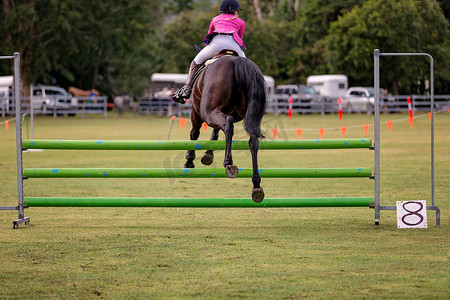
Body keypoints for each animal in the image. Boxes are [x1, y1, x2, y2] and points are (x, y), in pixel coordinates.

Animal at [184, 54, 266, 203]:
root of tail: (236, 61)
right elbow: (215, 131)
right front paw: (208, 154)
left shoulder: (196, 112)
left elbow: (194, 134)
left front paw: (189, 160)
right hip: (250, 117)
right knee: (253, 142)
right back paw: (256, 185)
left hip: (207, 111)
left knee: (228, 125)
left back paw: (228, 163)